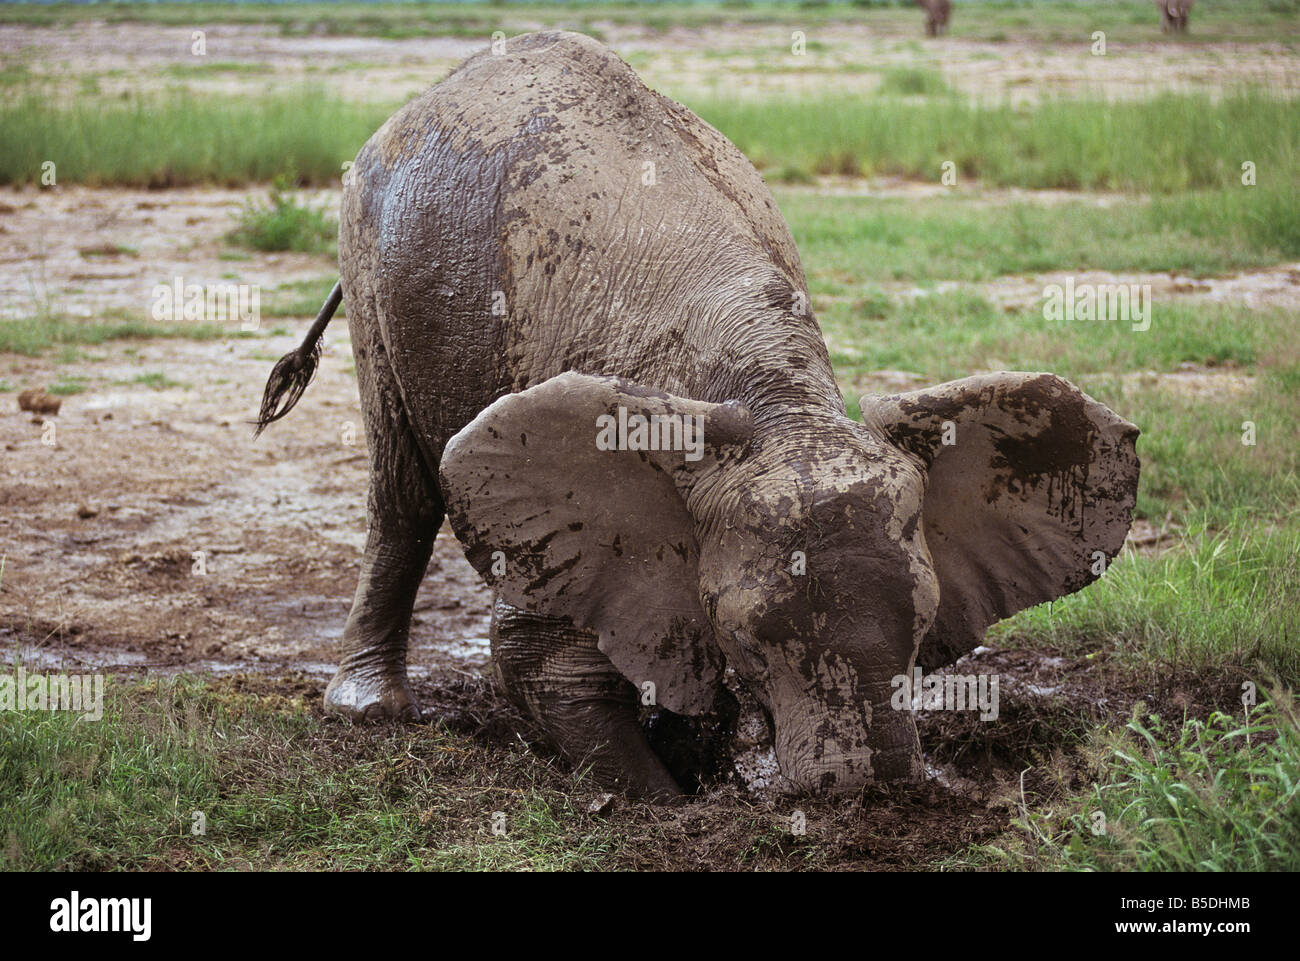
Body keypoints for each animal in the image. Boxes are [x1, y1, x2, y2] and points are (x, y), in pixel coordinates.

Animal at [255, 31, 1139, 800]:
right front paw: (670, 801)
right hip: (365, 258)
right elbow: (540, 654)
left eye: (925, 629)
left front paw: (704, 762)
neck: (774, 392)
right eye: (747, 641)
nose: (872, 798)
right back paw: (371, 710)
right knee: (403, 488)